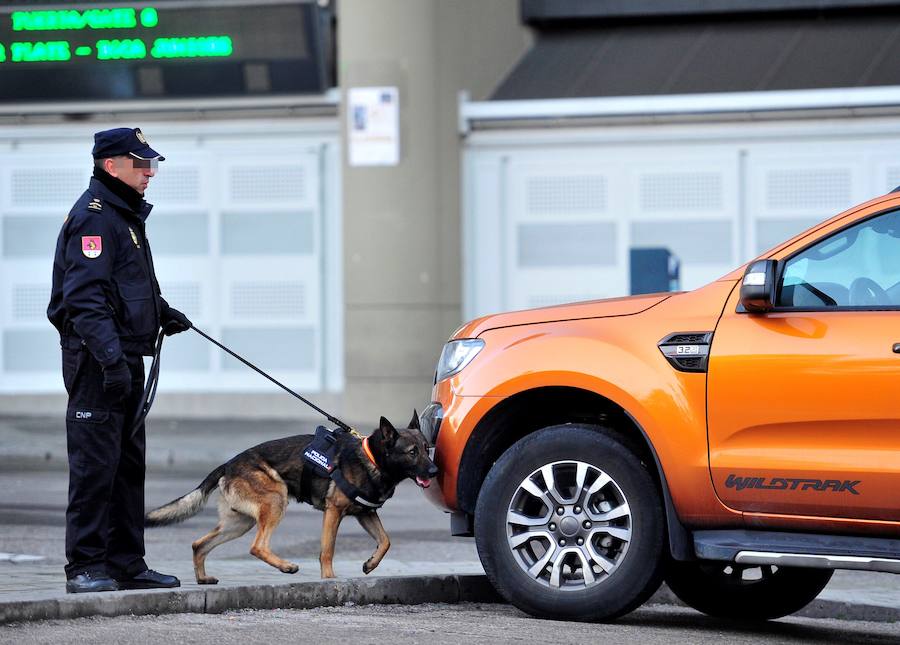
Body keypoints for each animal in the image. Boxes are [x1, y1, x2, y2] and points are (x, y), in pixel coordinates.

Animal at [146, 412, 438, 584]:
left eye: (427, 448)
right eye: (412, 452)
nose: (435, 471)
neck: (373, 459)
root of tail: (228, 464)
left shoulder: (366, 514)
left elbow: (386, 541)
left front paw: (370, 564)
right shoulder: (334, 512)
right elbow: (327, 550)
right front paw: (329, 579)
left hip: (238, 523)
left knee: (199, 544)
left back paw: (203, 579)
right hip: (276, 501)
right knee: (257, 546)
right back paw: (286, 567)